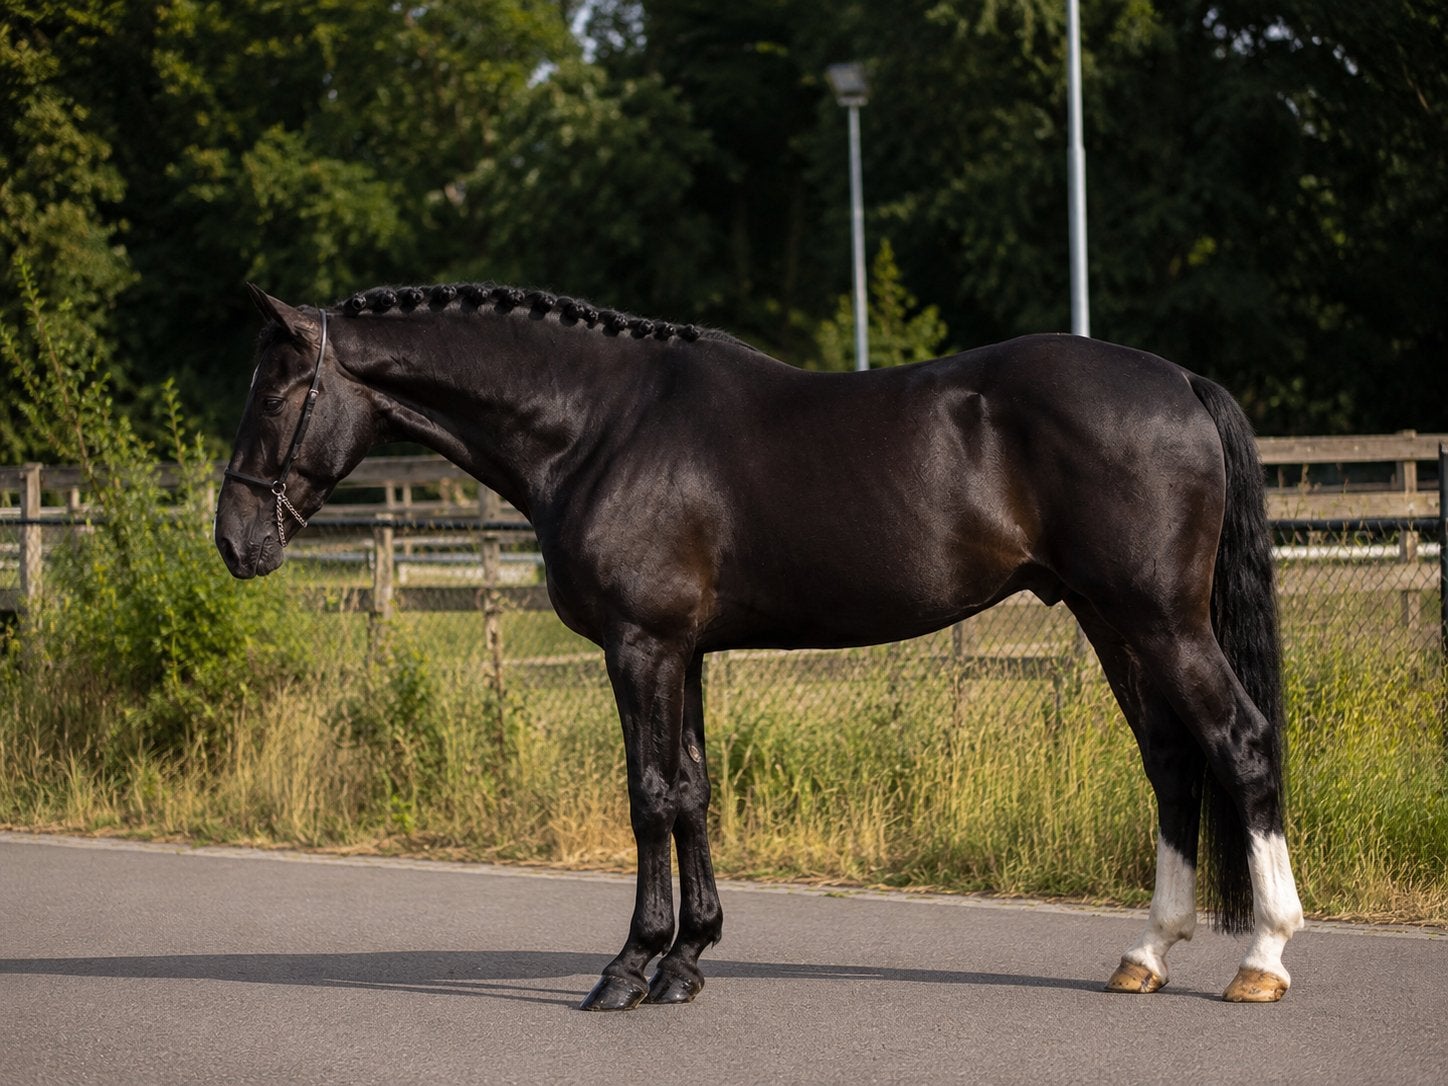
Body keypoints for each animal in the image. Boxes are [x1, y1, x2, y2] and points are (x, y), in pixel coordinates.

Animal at [215, 281, 1304, 1010]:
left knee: (1240, 745)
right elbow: (693, 790)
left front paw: (629, 967)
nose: (234, 542)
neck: (599, 427)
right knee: (1171, 764)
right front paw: (687, 960)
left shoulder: (640, 646)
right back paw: (1146, 955)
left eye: (273, 391)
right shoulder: (684, 653)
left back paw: (1262, 960)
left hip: (1157, 620)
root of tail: (1181, 380)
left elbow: (649, 795)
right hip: (1109, 620)